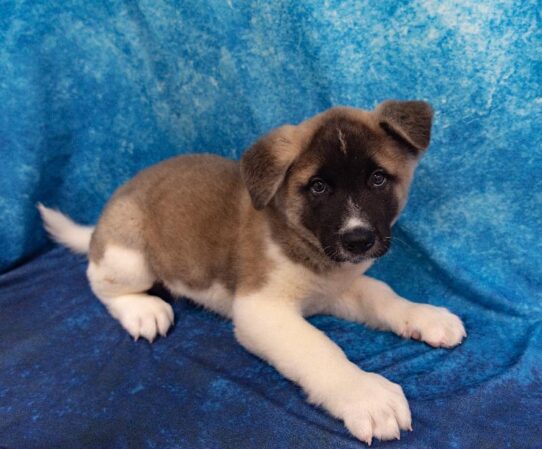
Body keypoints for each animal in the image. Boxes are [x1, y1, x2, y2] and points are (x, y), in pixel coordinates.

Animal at [40, 100, 468, 442]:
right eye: (318, 187)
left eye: (377, 179)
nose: (357, 239)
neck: (302, 242)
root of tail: (103, 221)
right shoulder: (262, 310)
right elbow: (319, 348)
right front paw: (365, 395)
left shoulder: (335, 288)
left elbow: (381, 294)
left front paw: (424, 316)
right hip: (129, 257)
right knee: (99, 281)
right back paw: (142, 310)